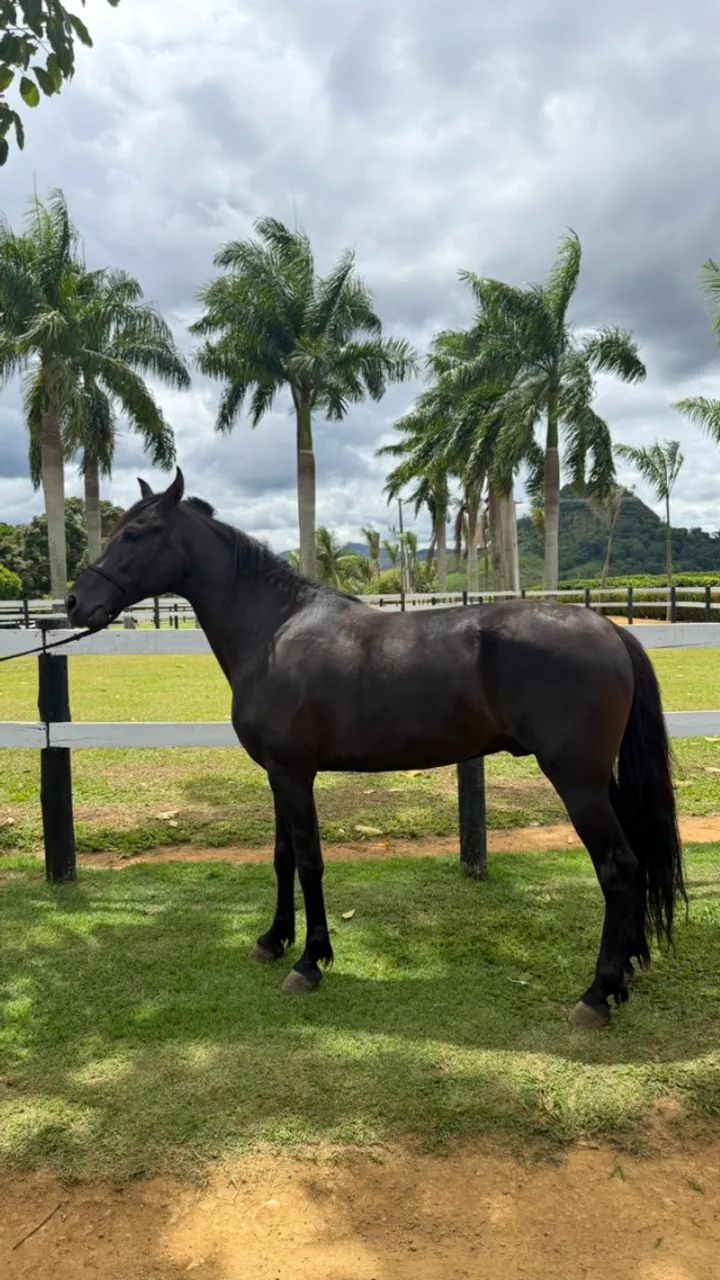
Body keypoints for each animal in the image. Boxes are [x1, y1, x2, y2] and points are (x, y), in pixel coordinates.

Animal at [66, 469, 686, 1028]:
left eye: (136, 533)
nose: (74, 602)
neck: (273, 631)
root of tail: (610, 629)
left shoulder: (295, 774)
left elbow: (309, 861)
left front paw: (310, 961)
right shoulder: (277, 774)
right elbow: (282, 857)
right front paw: (273, 940)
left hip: (577, 782)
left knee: (617, 867)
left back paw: (597, 994)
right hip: (600, 781)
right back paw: (626, 972)